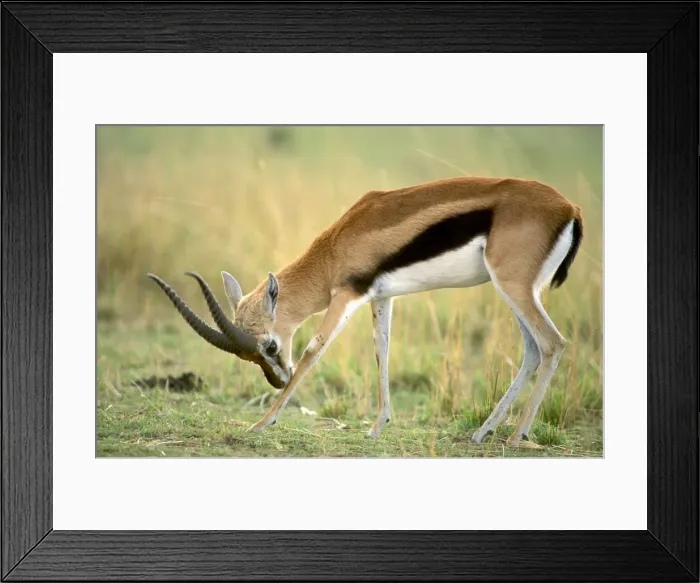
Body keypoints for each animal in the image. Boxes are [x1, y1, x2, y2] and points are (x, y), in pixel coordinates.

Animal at [148, 176, 583, 446]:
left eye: (269, 346)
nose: (277, 380)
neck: (336, 246)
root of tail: (570, 209)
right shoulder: (381, 297)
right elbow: (382, 351)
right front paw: (377, 428)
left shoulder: (345, 296)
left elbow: (313, 351)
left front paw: (260, 423)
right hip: (515, 291)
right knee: (531, 349)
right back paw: (483, 434)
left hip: (514, 287)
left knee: (553, 343)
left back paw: (515, 435)